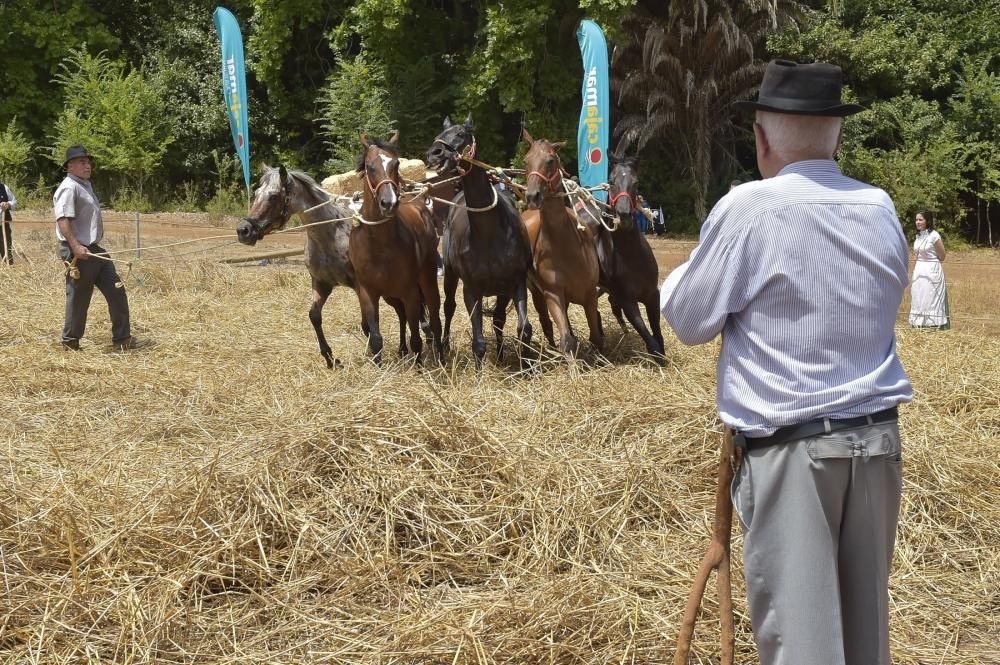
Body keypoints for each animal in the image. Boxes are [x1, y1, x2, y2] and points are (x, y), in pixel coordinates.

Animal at [235, 163, 358, 366]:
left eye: (274, 196)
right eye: (257, 192)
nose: (243, 231)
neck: (332, 233)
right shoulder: (321, 283)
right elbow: (314, 316)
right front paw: (330, 358)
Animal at [354, 132, 444, 366]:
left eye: (396, 164)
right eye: (370, 166)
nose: (389, 203)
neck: (380, 245)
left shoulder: (410, 292)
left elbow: (417, 338)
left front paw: (419, 366)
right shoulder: (368, 294)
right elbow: (376, 339)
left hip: (427, 283)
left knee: (435, 318)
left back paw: (441, 356)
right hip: (390, 295)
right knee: (402, 315)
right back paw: (403, 350)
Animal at [520, 130, 604, 358]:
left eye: (550, 160)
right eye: (526, 161)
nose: (532, 196)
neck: (567, 248)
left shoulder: (590, 295)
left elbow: (595, 335)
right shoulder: (553, 295)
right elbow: (566, 340)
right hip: (536, 293)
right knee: (546, 322)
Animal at [576, 155, 668, 364]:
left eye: (636, 182)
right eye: (611, 181)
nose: (624, 216)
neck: (632, 257)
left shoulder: (652, 295)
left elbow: (657, 331)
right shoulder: (628, 302)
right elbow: (649, 338)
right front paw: (659, 358)